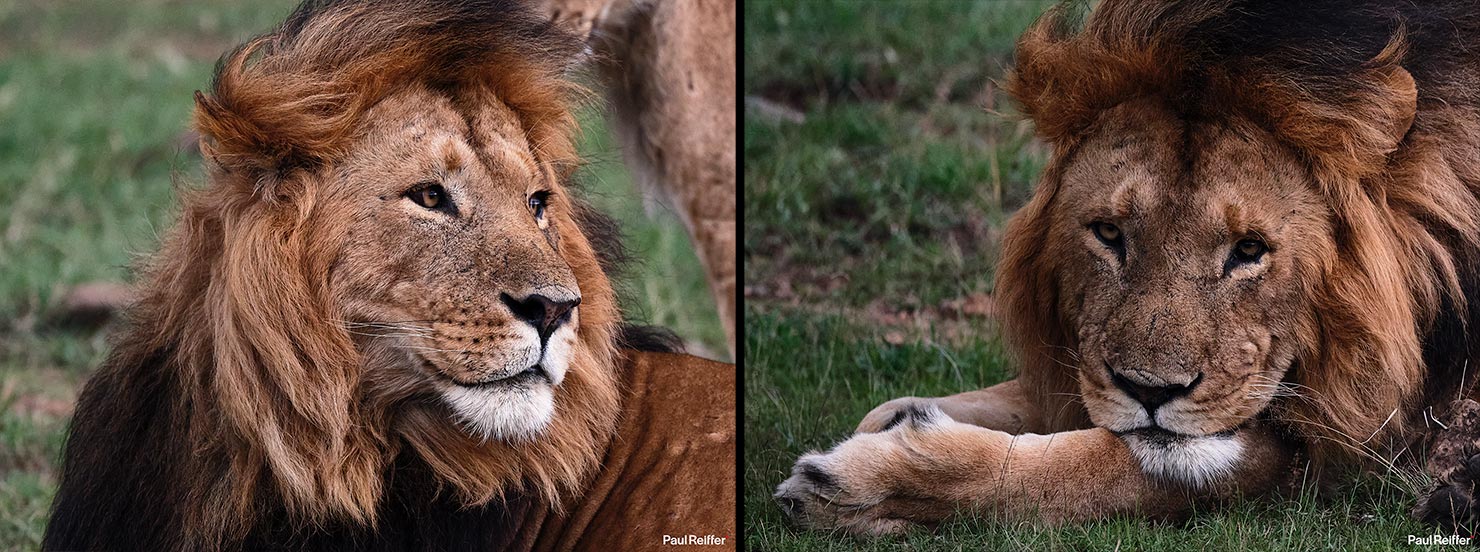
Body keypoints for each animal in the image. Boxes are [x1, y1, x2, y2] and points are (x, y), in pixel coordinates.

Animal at [776, 0, 1480, 536]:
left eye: (1249, 250)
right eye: (1109, 233)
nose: (1149, 392)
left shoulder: (1319, 453)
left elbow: (1097, 470)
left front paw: (870, 481)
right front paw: (897, 417)